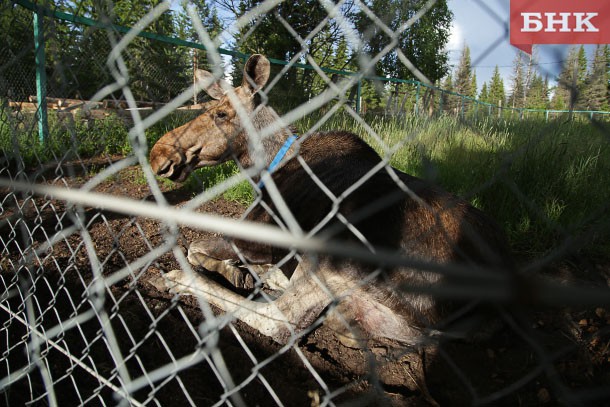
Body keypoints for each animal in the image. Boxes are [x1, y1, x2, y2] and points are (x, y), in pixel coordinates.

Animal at [148, 55, 512, 350]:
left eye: (221, 114)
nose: (157, 154)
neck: (266, 165)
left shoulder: (258, 234)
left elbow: (196, 248)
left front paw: (227, 270)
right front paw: (241, 271)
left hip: (331, 252)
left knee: (279, 320)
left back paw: (175, 278)